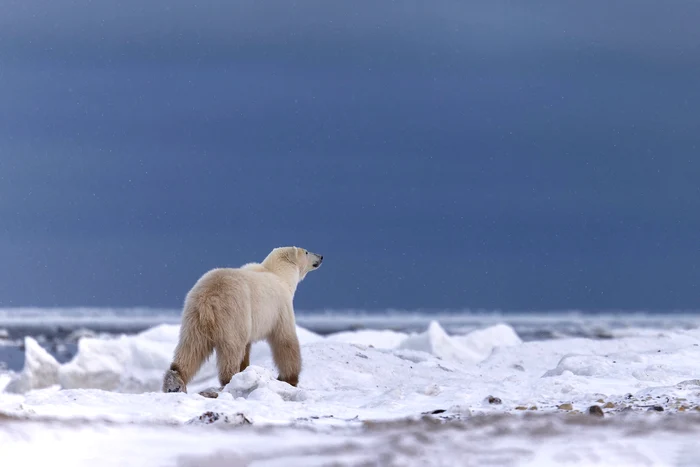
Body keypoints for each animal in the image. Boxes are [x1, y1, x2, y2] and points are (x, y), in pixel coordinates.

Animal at [162, 246, 323, 394]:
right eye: (306, 251)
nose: (321, 256)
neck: (280, 274)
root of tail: (208, 298)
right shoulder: (280, 308)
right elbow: (285, 340)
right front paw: (289, 379)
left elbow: (247, 347)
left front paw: (246, 370)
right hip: (233, 314)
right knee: (231, 349)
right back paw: (229, 380)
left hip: (193, 317)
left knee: (191, 347)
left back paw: (174, 382)